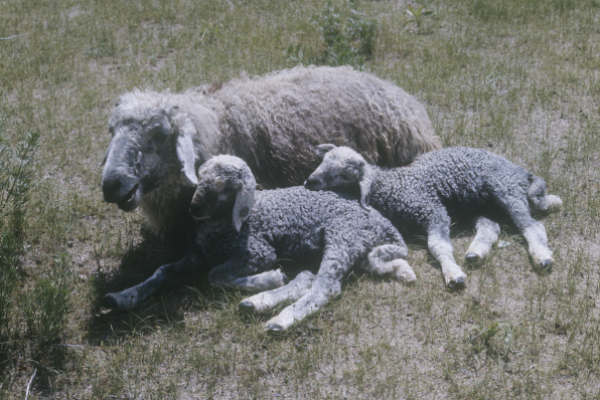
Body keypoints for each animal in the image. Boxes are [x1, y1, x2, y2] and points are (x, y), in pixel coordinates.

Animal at [105, 154, 414, 332]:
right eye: (200, 178)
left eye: (222, 185)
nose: (193, 209)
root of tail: (378, 218)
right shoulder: (198, 253)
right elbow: (163, 270)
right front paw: (125, 295)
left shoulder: (258, 252)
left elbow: (215, 275)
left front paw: (266, 278)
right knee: (310, 277)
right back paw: (259, 302)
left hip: (343, 237)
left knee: (325, 287)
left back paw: (279, 318)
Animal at [304, 145, 564, 290]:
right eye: (322, 162)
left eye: (342, 173)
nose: (309, 181)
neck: (390, 186)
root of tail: (522, 172)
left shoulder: (432, 209)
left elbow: (437, 245)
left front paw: (453, 274)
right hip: (477, 205)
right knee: (491, 226)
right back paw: (475, 253)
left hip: (505, 190)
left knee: (532, 226)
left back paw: (542, 256)